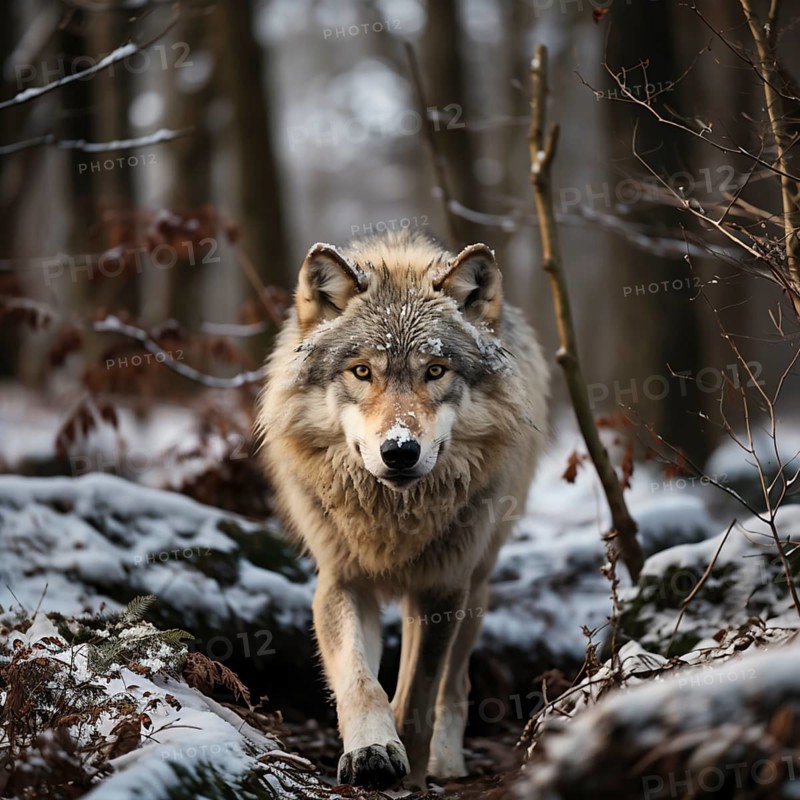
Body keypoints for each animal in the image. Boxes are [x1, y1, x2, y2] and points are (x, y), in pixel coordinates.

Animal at [256, 231, 549, 790]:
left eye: (435, 371)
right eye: (362, 372)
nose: (399, 450)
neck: (392, 519)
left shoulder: (441, 588)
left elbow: (417, 695)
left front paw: (411, 772)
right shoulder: (341, 581)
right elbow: (361, 681)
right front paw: (373, 751)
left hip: (475, 583)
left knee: (455, 684)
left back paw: (445, 762)